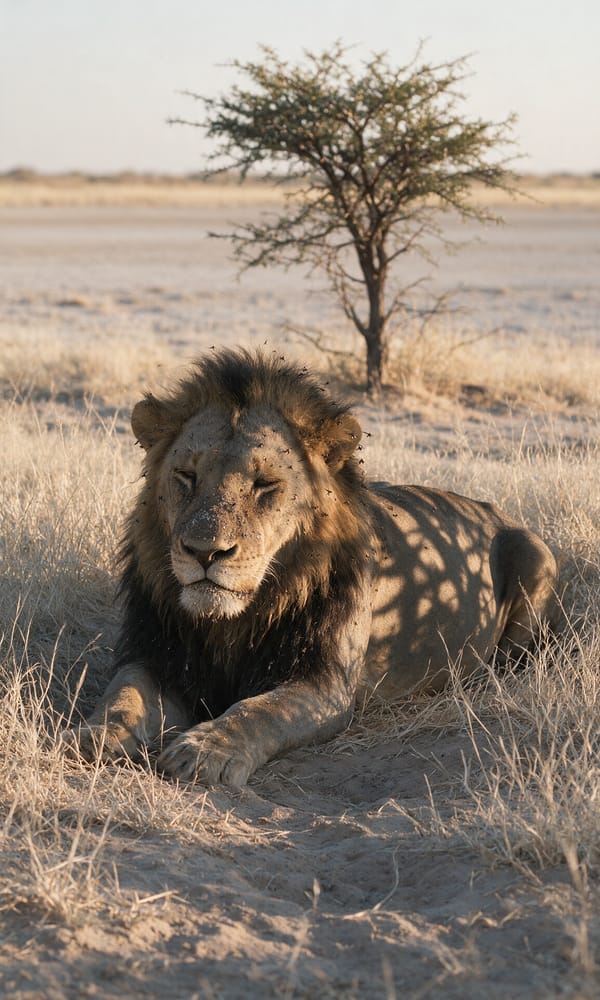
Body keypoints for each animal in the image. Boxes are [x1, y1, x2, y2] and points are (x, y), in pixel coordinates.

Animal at [71, 348, 560, 786]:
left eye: (265, 484)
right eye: (186, 476)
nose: (205, 552)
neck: (232, 621)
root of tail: (493, 509)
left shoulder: (325, 685)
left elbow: (259, 711)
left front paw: (205, 749)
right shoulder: (155, 654)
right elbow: (123, 696)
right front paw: (95, 735)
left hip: (535, 555)